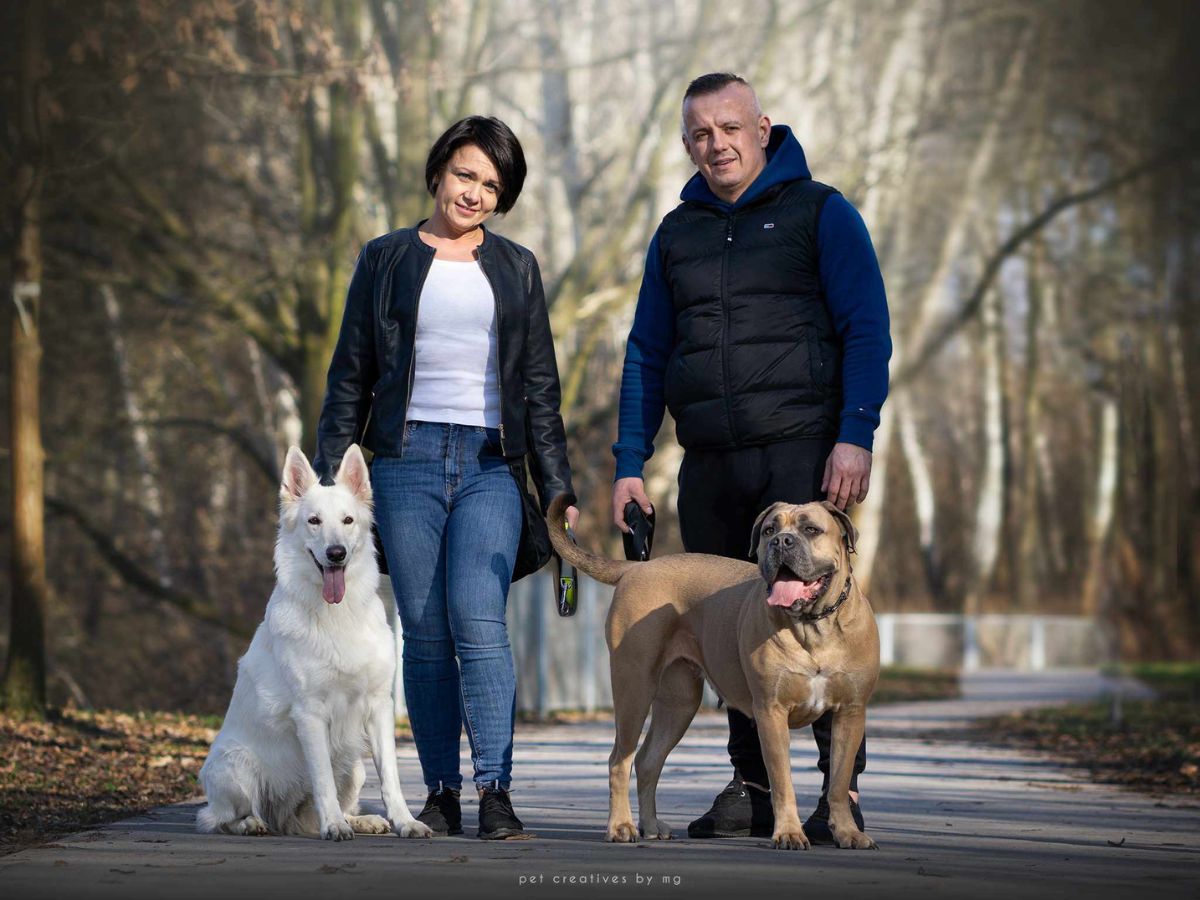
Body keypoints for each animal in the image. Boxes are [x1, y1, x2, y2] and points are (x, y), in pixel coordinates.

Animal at [199, 448, 434, 844]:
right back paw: (252, 824)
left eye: (348, 520)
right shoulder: (310, 714)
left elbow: (391, 778)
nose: (336, 553)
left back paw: (362, 820)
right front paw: (335, 825)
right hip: (235, 764)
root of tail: (283, 817)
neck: (337, 615)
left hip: (354, 769)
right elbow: (322, 778)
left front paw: (405, 821)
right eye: (314, 521)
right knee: (220, 817)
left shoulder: (378, 707)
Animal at [549, 494, 878, 854]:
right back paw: (621, 826)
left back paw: (651, 826)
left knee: (647, 760)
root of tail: (637, 567)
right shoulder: (771, 712)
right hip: (633, 686)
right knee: (619, 760)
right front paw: (789, 833)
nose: (781, 542)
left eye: (811, 529)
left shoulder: (849, 713)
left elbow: (839, 780)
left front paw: (847, 832)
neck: (814, 626)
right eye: (769, 530)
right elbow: (782, 781)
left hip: (679, 703)